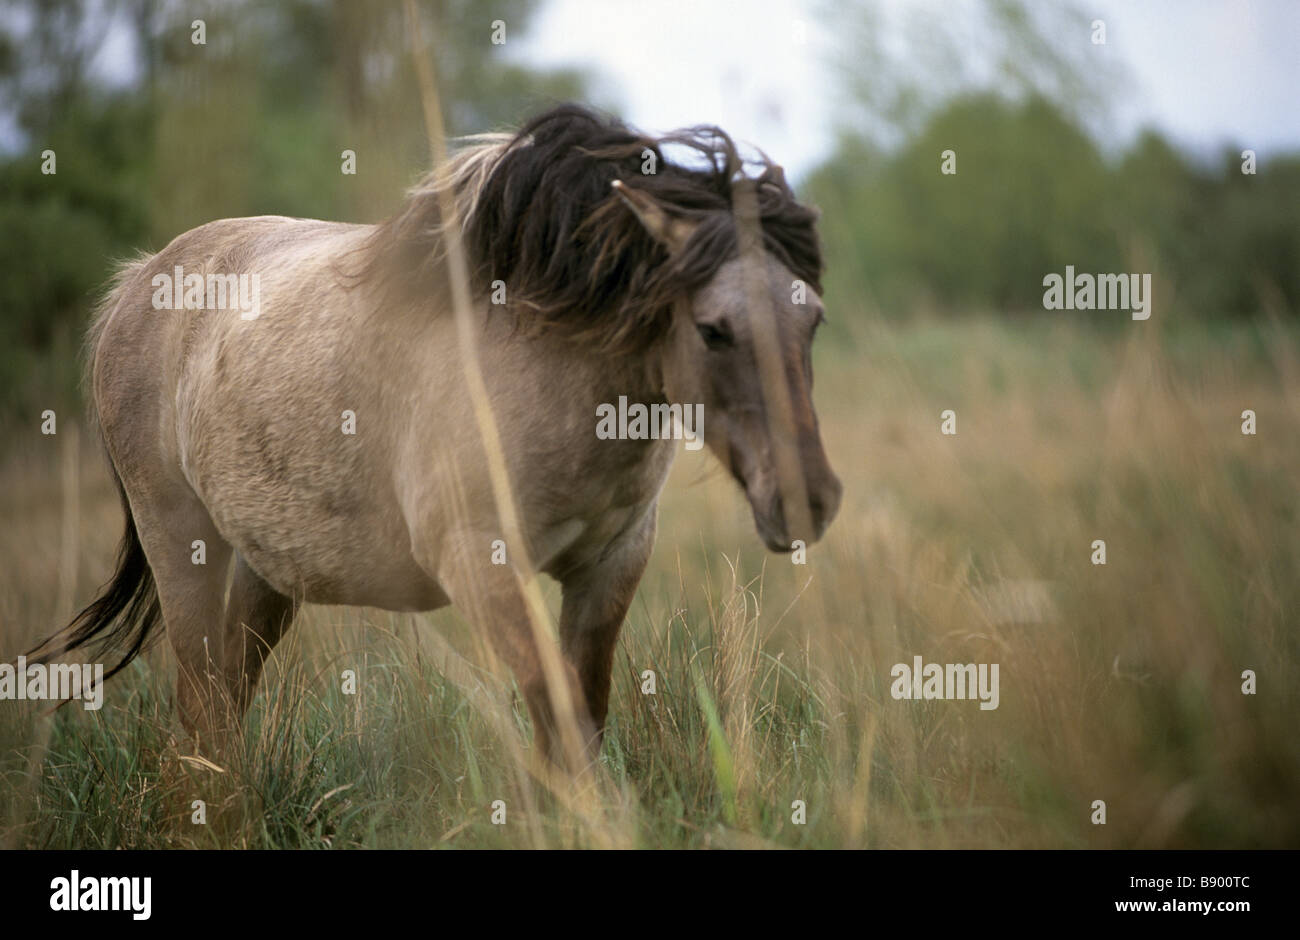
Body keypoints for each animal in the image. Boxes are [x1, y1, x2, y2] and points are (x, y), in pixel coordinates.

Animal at [32, 102, 842, 769]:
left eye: (813, 319)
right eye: (713, 329)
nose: (809, 500)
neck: (551, 348)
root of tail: (140, 280)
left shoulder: (610, 564)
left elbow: (579, 725)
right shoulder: (481, 565)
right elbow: (563, 730)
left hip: (263, 572)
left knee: (221, 712)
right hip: (184, 546)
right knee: (200, 709)